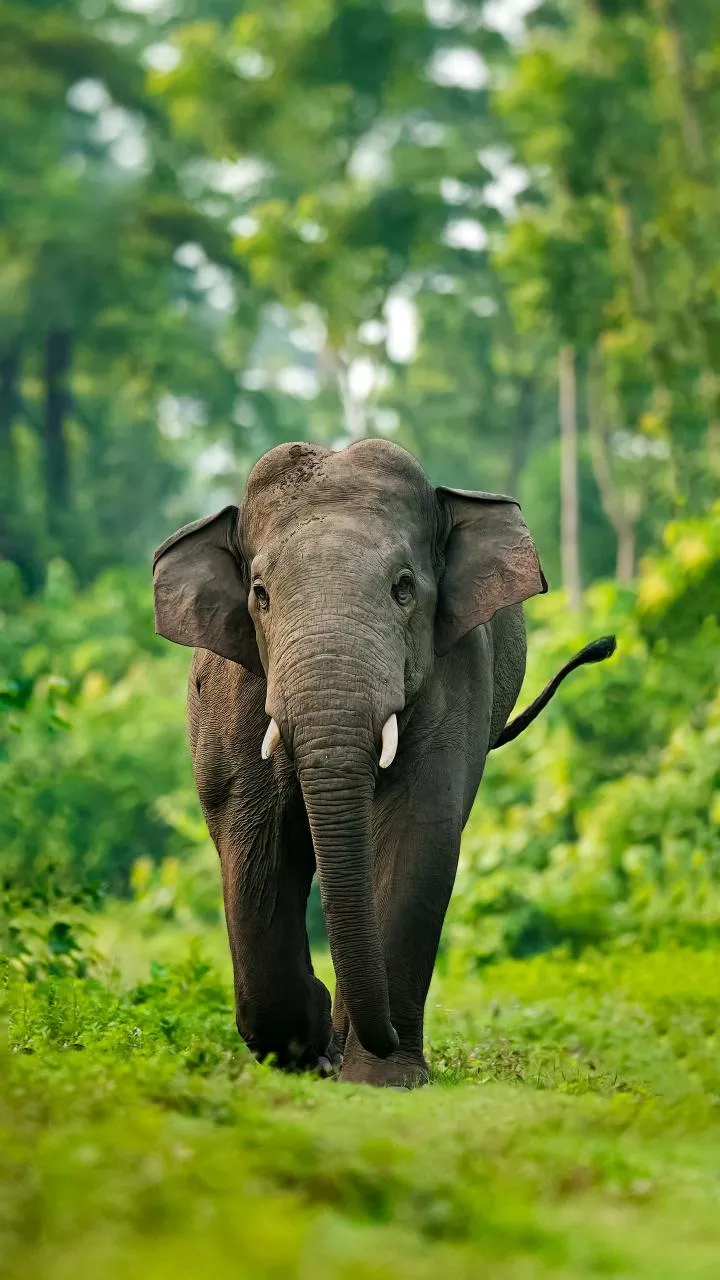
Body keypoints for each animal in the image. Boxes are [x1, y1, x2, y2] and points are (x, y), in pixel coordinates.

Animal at [153, 439, 615, 1087]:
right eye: (260, 594)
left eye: (404, 588)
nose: (604, 645)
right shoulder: (233, 685)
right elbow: (253, 835)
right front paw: (304, 1047)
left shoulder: (456, 667)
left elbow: (418, 828)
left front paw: (382, 1079)